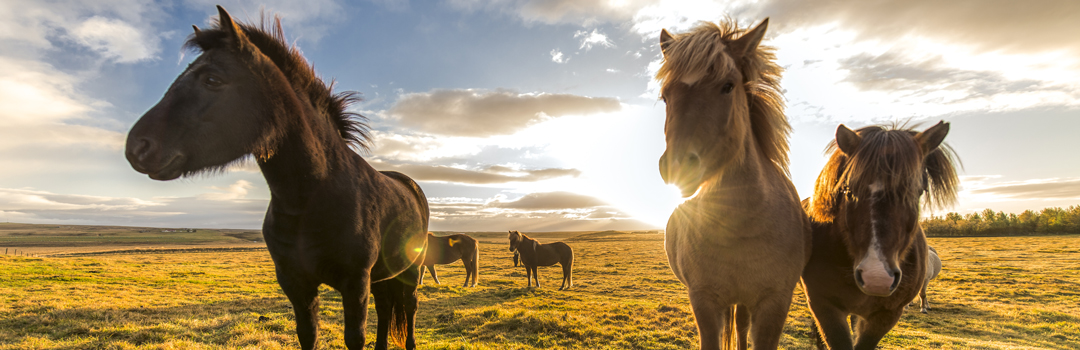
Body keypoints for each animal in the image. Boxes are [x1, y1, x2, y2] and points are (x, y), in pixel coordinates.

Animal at [124, 6, 427, 350]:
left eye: (212, 79)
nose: (137, 147)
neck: (310, 198)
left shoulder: (355, 283)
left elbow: (355, 338)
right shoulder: (296, 284)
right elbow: (308, 335)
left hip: (411, 270)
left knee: (409, 306)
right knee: (386, 305)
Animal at [648, 19, 812, 350]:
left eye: (728, 86)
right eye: (666, 96)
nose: (677, 166)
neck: (741, 227)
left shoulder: (774, 303)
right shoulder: (704, 300)